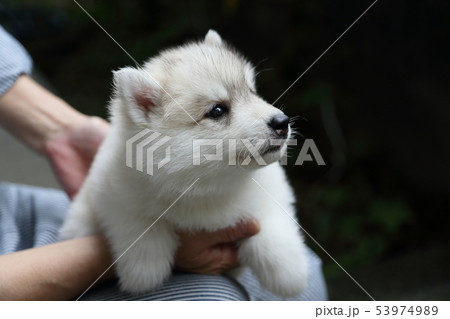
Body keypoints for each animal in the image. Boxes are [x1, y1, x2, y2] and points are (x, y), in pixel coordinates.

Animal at [60, 30, 310, 298]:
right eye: (217, 110)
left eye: (252, 92)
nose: (282, 122)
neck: (206, 186)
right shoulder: (112, 193)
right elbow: (139, 224)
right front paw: (144, 271)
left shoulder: (273, 189)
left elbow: (269, 227)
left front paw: (288, 272)